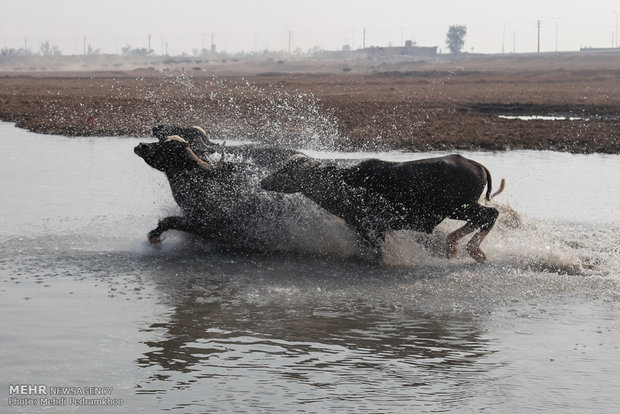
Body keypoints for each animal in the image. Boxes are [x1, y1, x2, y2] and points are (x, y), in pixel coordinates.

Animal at [260, 154, 506, 264]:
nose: (264, 181)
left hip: (458, 207)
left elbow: (378, 251)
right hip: (459, 209)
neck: (345, 184)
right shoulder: (361, 228)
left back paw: (469, 250)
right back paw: (455, 247)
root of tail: (477, 165)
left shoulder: (371, 227)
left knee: (490, 215)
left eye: (289, 170)